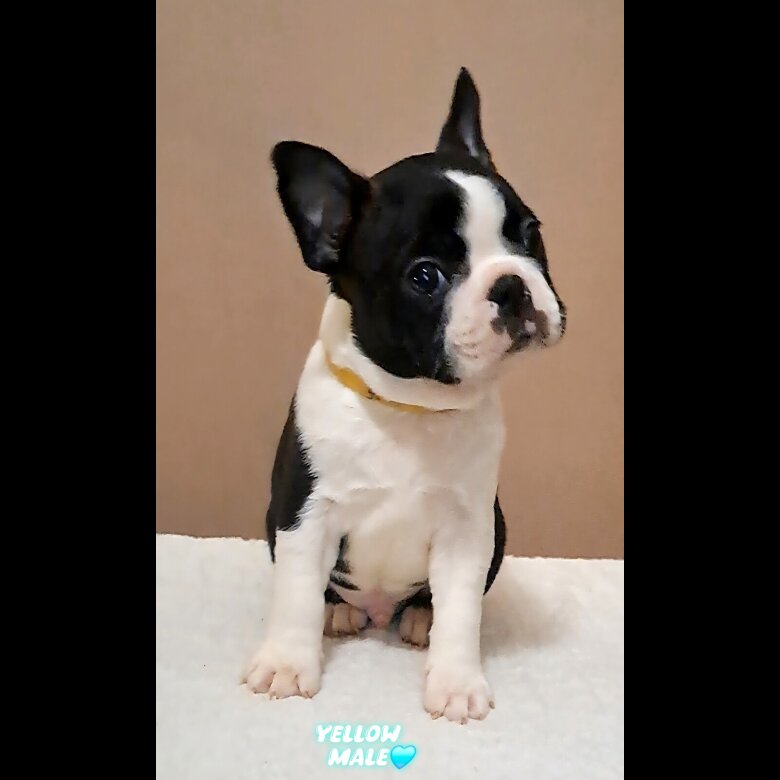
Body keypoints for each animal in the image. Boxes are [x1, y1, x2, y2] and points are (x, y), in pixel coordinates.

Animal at [242, 68, 566, 723]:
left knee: (432, 604)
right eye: (425, 276)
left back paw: (418, 618)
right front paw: (288, 663)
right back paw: (338, 612)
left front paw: (456, 681)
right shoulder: (304, 515)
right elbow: (294, 594)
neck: (411, 405)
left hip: (499, 526)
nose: (513, 286)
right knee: (322, 593)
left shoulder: (469, 530)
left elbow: (462, 611)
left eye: (530, 236)